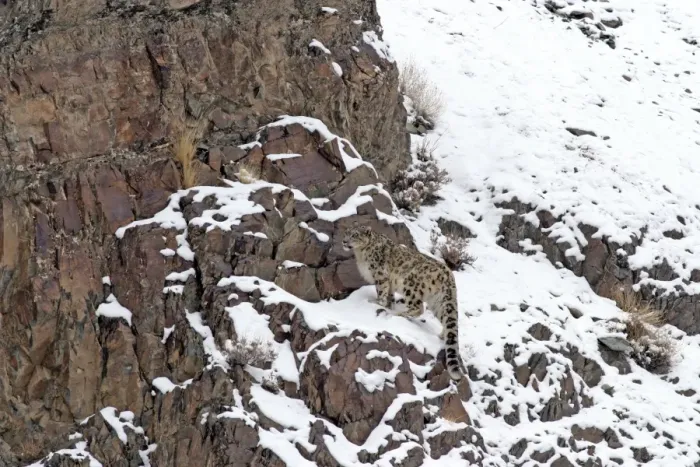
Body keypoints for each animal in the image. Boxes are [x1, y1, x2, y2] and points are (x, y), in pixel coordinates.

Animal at [342, 225, 463, 381]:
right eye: (346, 233)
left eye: (355, 235)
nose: (344, 241)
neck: (361, 254)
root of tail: (449, 274)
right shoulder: (390, 284)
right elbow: (390, 296)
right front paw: (388, 305)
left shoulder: (380, 275)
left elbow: (381, 291)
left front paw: (377, 303)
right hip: (437, 301)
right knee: (446, 319)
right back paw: (442, 335)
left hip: (411, 284)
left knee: (419, 308)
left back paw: (400, 314)